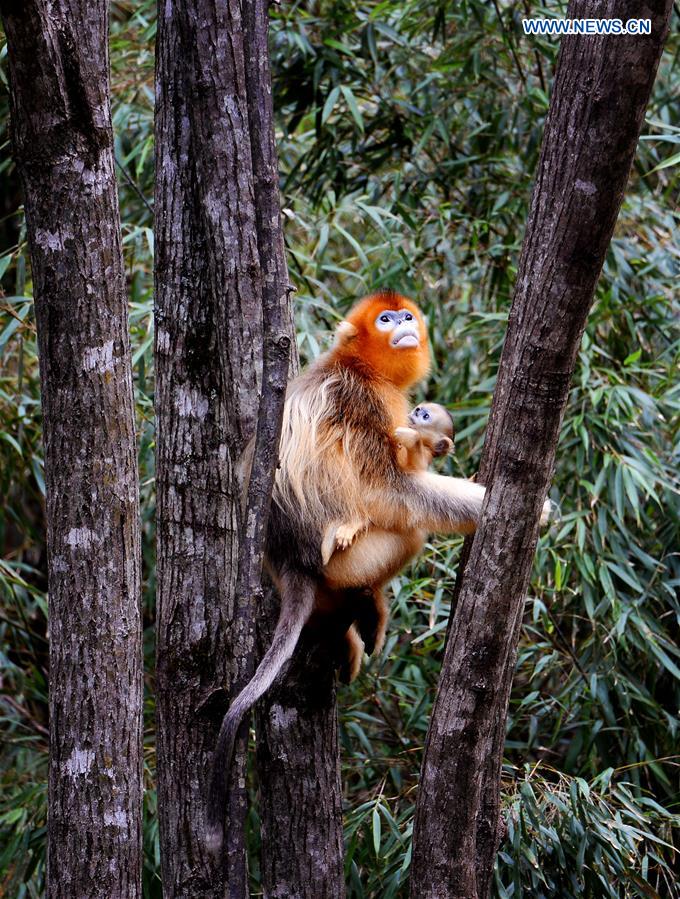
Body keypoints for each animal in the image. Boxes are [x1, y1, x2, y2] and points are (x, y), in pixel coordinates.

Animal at [207, 292, 552, 848]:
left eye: (406, 315)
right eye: (385, 319)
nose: (403, 324)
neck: (356, 366)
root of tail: (290, 559)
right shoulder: (368, 403)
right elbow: (391, 491)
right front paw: (529, 508)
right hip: (352, 558)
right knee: (407, 531)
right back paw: (367, 605)